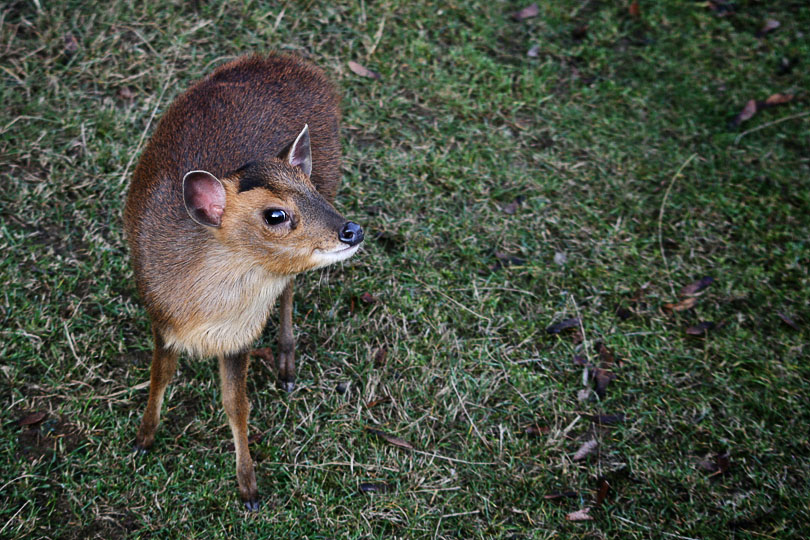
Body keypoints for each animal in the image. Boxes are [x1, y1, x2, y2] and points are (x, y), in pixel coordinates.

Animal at [121, 52, 362, 508]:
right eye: (275, 214)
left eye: (311, 190)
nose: (352, 230)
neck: (200, 315)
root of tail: (300, 65)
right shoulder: (158, 316)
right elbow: (160, 376)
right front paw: (143, 439)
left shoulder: (238, 339)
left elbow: (237, 406)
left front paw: (248, 488)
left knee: (289, 288)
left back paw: (287, 364)